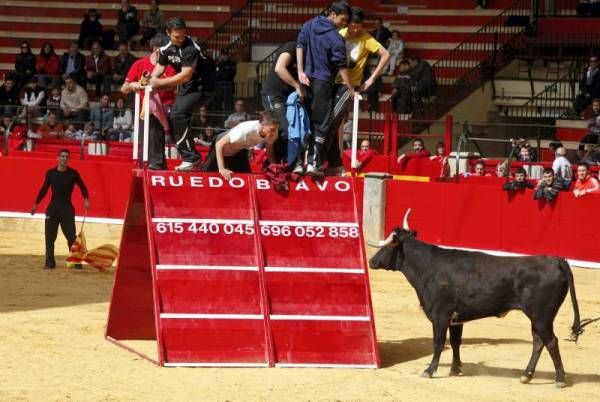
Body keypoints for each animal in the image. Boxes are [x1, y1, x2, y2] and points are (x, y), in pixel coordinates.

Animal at [368, 226, 584, 386]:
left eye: (387, 247)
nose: (371, 261)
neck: (428, 267)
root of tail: (557, 261)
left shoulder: (440, 316)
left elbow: (438, 343)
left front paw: (429, 370)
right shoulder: (456, 319)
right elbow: (455, 342)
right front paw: (455, 369)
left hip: (541, 316)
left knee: (551, 341)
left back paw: (560, 379)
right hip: (537, 318)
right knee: (538, 342)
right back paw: (526, 375)